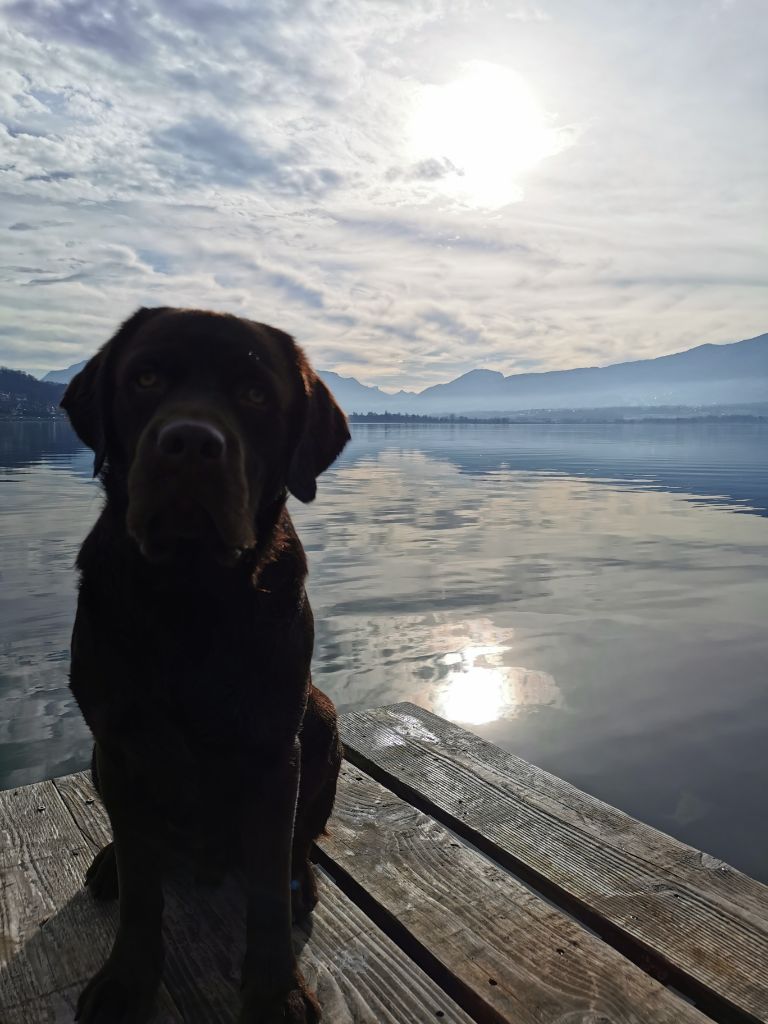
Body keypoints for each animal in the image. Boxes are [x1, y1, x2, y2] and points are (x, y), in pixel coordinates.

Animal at [63, 307, 352, 1019]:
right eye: (145, 378)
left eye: (254, 394)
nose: (190, 443)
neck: (190, 593)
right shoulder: (119, 742)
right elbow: (142, 889)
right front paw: (127, 982)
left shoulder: (274, 750)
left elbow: (269, 890)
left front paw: (276, 994)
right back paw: (108, 862)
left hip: (320, 717)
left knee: (299, 844)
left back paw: (303, 877)